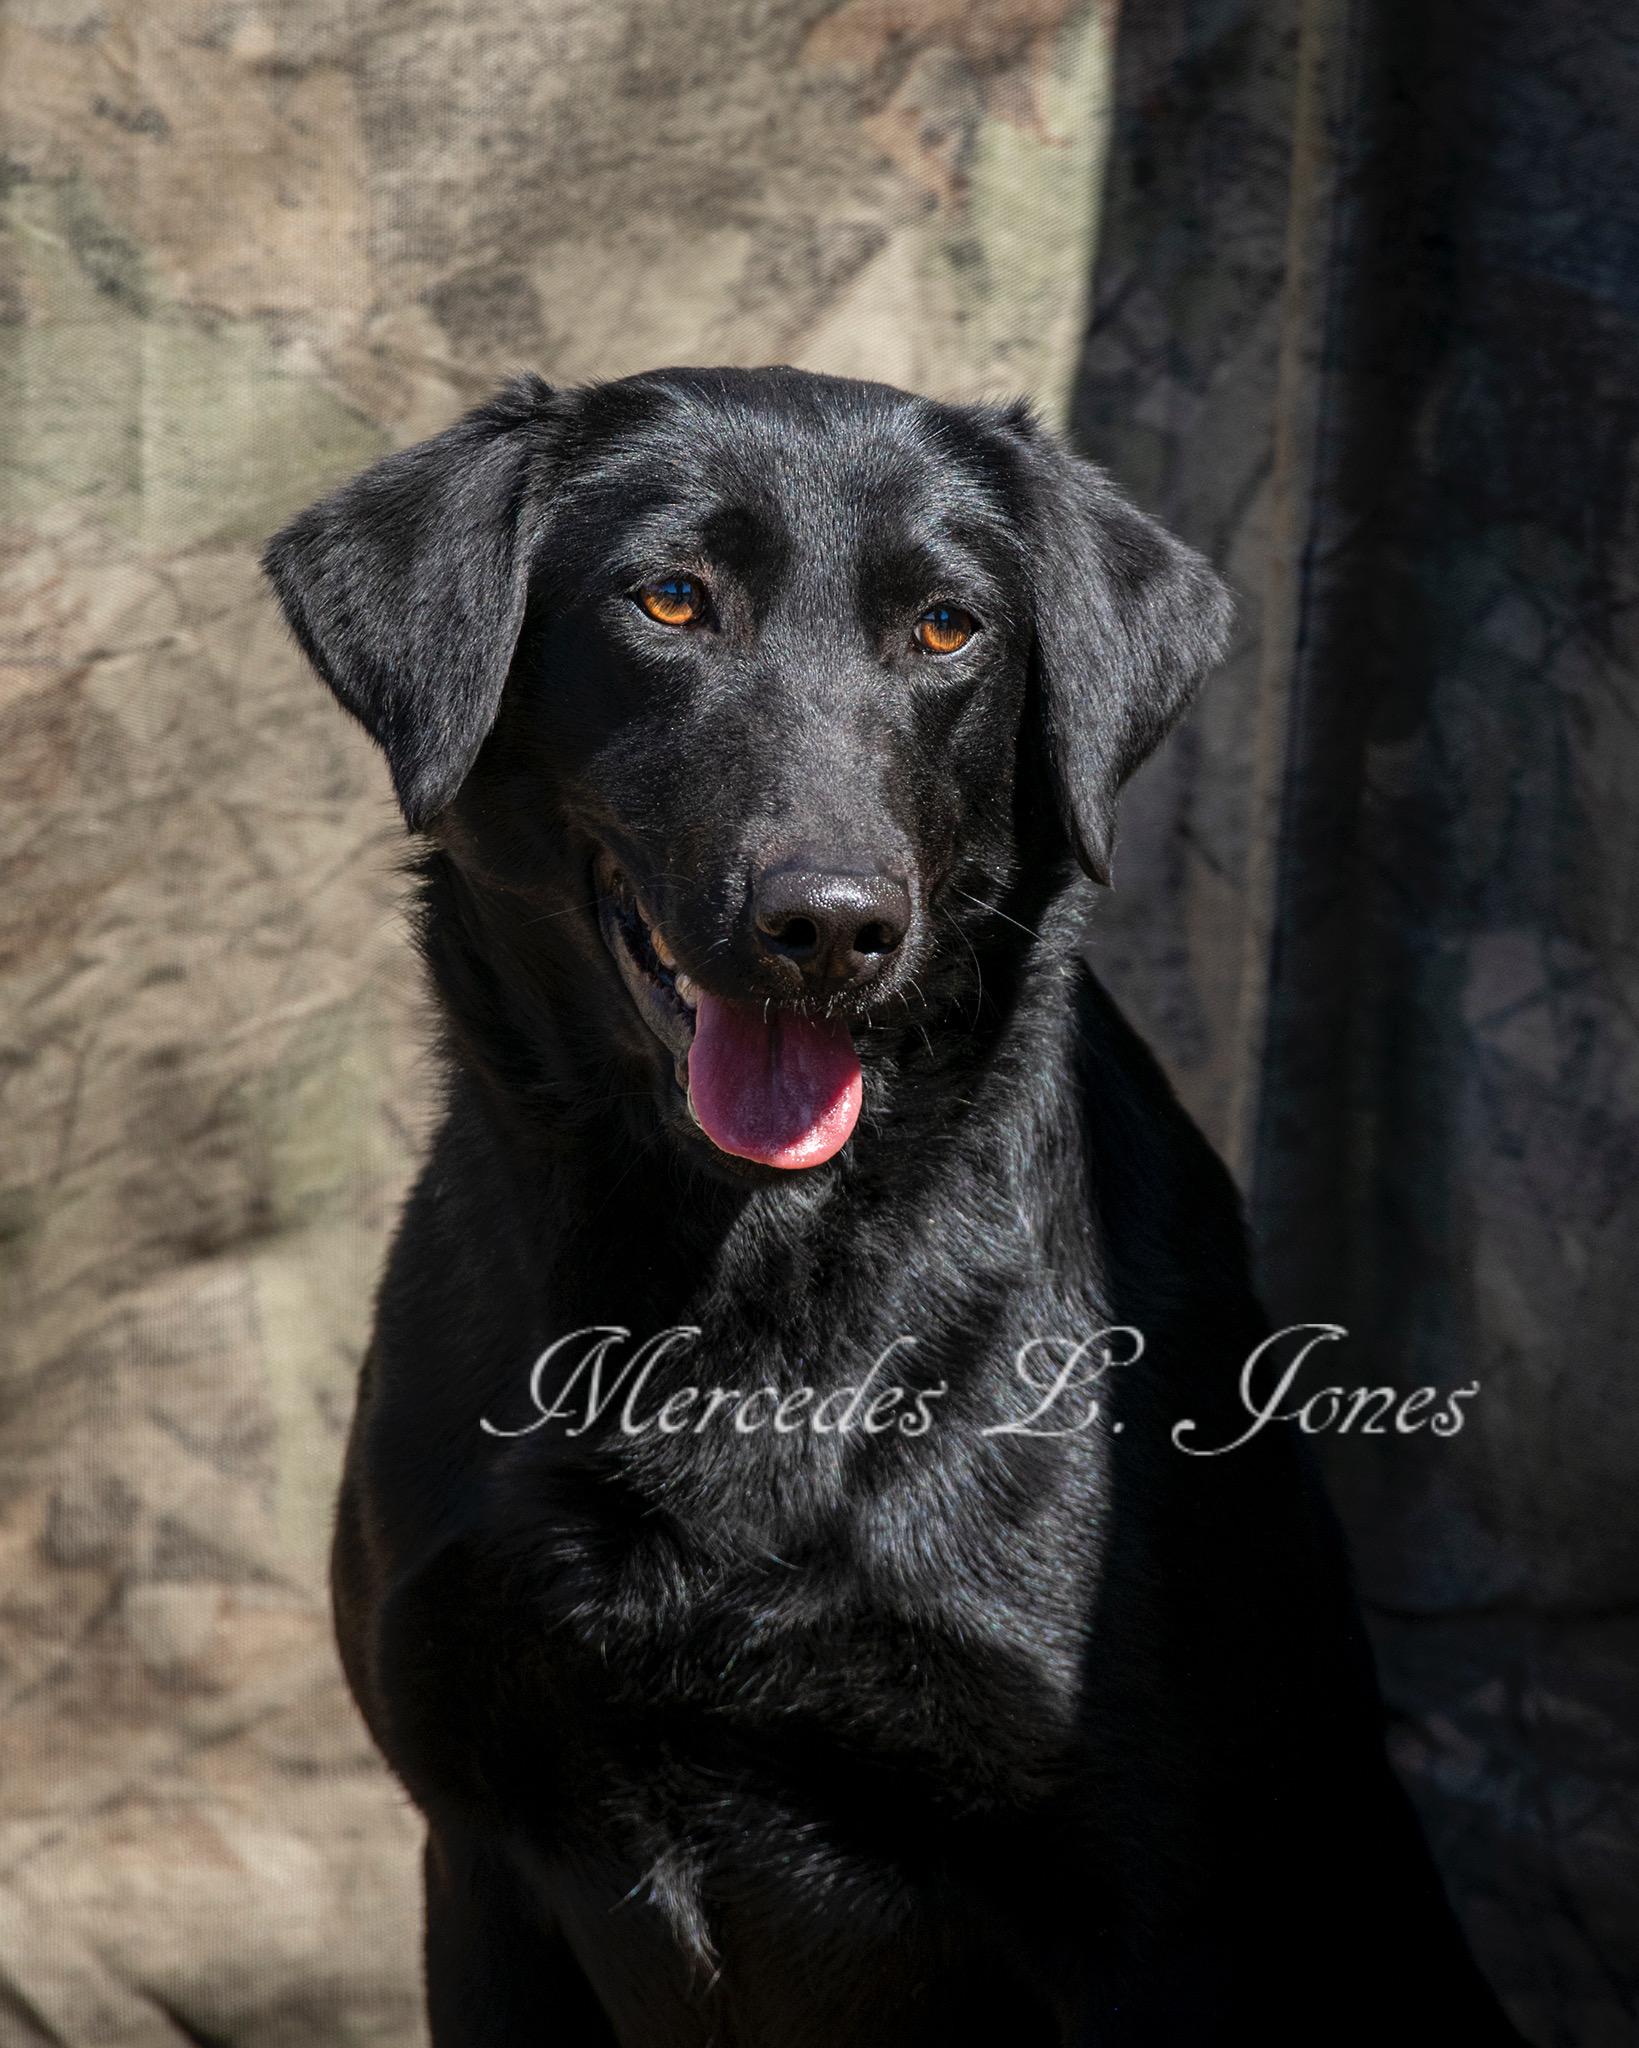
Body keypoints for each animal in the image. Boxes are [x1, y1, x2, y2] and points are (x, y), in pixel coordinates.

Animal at [265, 367, 1522, 2045]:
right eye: (670, 600)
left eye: (943, 628)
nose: (828, 926)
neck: (736, 1300)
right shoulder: (477, 1859)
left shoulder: (1146, 1910)